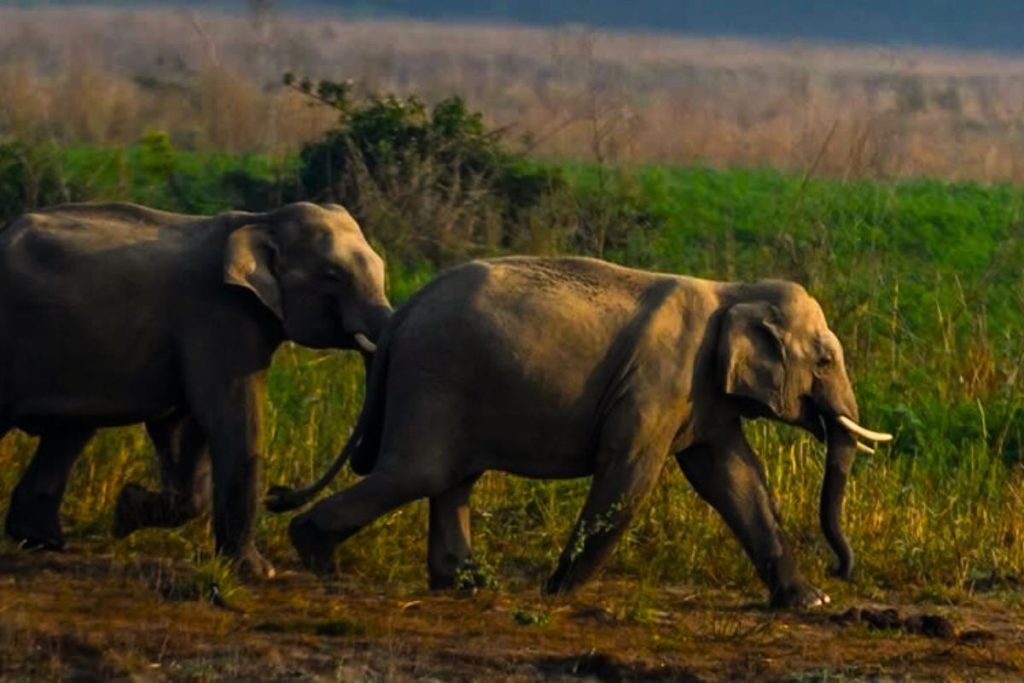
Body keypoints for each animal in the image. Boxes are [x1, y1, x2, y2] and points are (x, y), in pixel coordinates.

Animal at [0, 200, 391, 578]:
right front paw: (258, 572)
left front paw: (126, 511)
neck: (262, 218)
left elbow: (181, 429)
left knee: (70, 432)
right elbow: (230, 419)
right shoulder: (217, 315)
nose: (278, 496)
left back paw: (44, 541)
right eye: (332, 276)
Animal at [268, 255, 892, 608]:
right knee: (419, 470)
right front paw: (559, 592)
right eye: (825, 361)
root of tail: (402, 314)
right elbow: (629, 473)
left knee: (450, 476)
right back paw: (315, 552)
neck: (732, 289)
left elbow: (732, 477)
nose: (841, 569)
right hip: (434, 375)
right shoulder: (660, 381)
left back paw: (470, 584)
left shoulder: (705, 396)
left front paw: (809, 602)